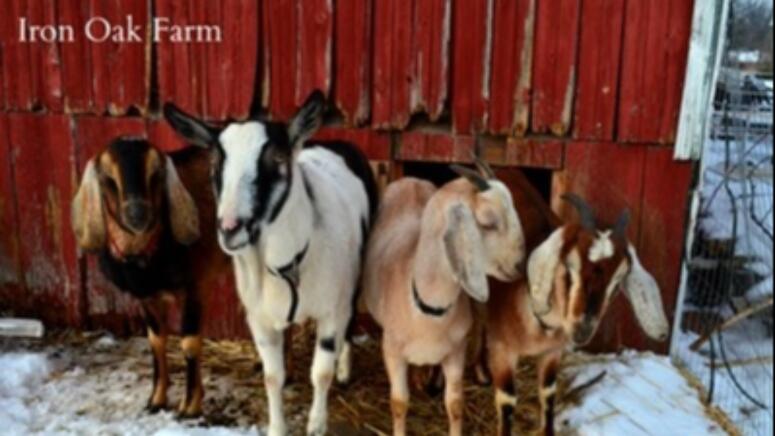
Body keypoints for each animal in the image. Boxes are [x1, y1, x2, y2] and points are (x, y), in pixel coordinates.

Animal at [71, 138, 230, 418]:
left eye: (156, 173)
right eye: (107, 178)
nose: (138, 214)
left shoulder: (196, 286)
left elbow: (189, 341)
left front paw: (190, 406)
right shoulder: (145, 296)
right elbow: (156, 340)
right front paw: (156, 400)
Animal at [164, 90, 376, 434]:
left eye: (277, 159)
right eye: (215, 163)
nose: (230, 228)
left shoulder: (333, 308)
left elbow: (321, 372)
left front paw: (317, 424)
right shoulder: (259, 317)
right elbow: (271, 377)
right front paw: (277, 425)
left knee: (352, 319)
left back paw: (345, 370)